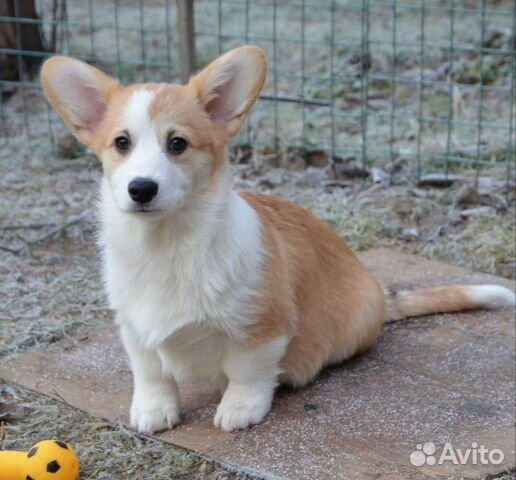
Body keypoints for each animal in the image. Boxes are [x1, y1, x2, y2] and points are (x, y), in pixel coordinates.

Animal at [41, 47, 516, 434]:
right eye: (121, 143)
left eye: (177, 144)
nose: (141, 189)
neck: (167, 244)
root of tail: (382, 294)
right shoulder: (135, 329)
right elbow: (151, 373)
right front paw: (153, 410)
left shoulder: (262, 327)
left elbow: (247, 372)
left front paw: (239, 409)